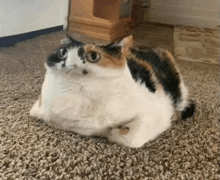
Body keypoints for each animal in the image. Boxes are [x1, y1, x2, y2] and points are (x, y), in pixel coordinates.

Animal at [29, 35, 194, 148]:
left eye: (93, 56)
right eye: (62, 53)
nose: (69, 63)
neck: (79, 94)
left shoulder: (159, 110)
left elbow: (131, 138)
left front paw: (113, 132)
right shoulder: (39, 109)